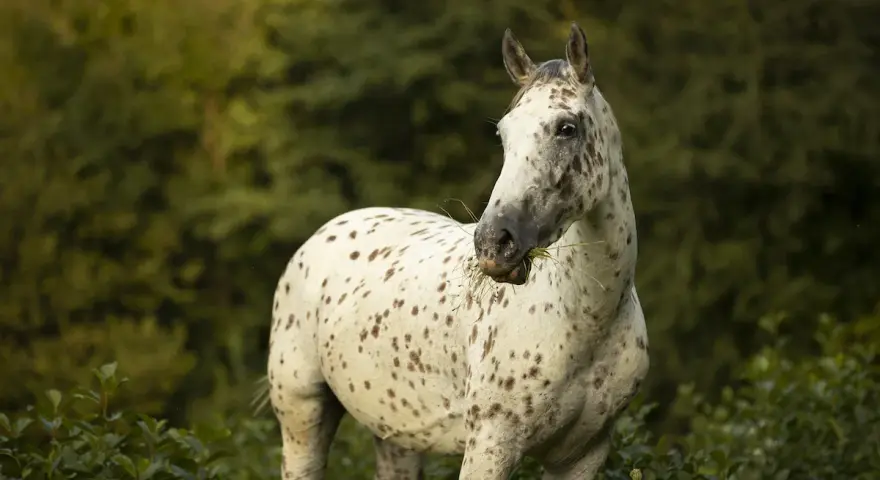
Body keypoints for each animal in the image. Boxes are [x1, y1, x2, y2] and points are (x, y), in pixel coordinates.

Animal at [265, 22, 649, 479]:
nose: (494, 243)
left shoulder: (583, 456)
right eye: (503, 133)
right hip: (302, 417)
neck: (585, 319)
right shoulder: (490, 446)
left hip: (396, 437)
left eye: (566, 127)